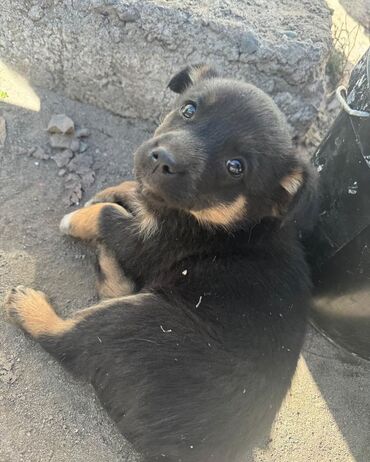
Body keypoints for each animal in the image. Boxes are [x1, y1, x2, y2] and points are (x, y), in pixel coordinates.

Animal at [2, 65, 316, 462]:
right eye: (188, 109)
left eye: (236, 167)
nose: (163, 159)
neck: (231, 224)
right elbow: (131, 194)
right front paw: (115, 191)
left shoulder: (149, 244)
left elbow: (107, 215)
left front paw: (78, 218)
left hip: (140, 319)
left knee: (73, 342)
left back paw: (30, 306)